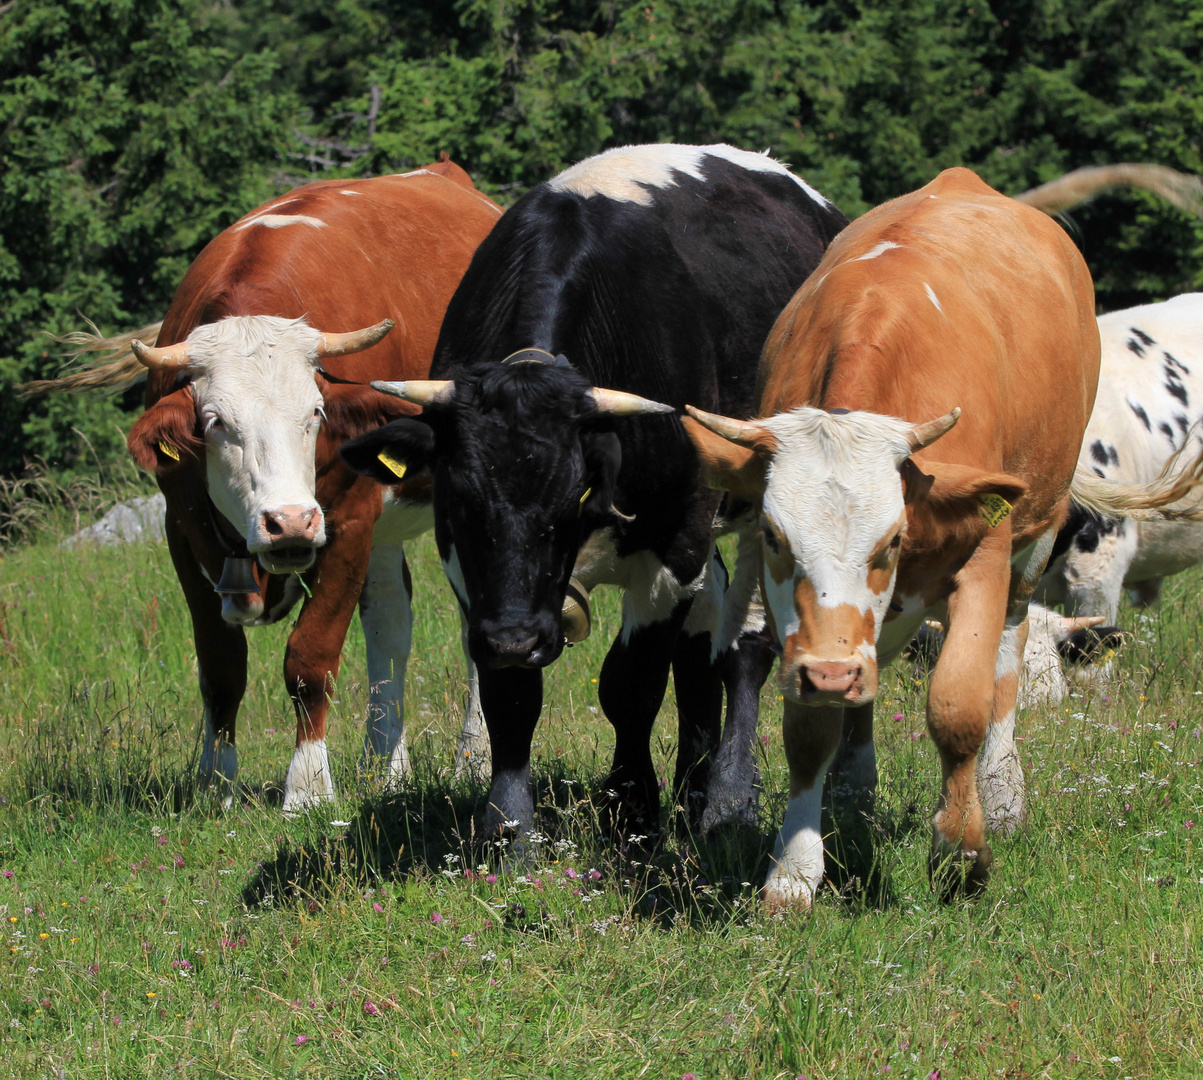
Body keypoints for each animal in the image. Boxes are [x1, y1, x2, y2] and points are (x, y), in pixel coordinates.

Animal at [35, 162, 500, 808]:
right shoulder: (182, 530)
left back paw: (474, 760)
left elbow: (311, 658)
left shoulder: (347, 521)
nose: (290, 522)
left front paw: (307, 788)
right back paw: (384, 769)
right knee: (390, 626)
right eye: (215, 422)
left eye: (316, 413)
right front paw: (215, 782)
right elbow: (220, 664)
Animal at [678, 165, 1203, 909]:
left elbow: (958, 706)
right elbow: (808, 727)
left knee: (1009, 654)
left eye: (891, 540)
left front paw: (961, 853)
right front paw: (794, 873)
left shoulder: (986, 554)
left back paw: (1001, 792)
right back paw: (853, 794)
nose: (833, 671)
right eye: (777, 537)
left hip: (1035, 542)